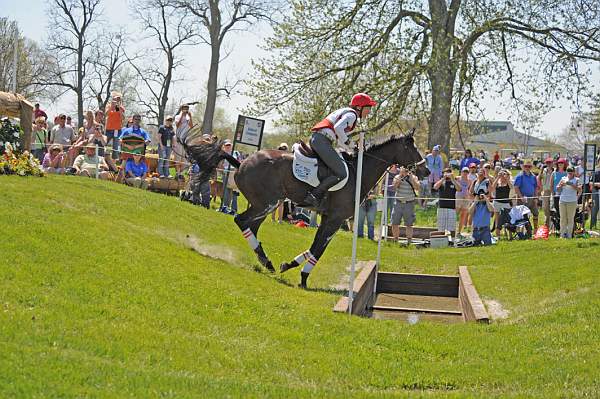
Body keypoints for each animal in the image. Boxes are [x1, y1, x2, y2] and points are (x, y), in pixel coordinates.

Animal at [185, 133, 428, 290]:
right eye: (411, 148)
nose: (425, 170)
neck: (358, 173)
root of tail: (241, 162)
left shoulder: (329, 219)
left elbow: (315, 248)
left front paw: (290, 266)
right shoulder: (335, 219)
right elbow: (317, 250)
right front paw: (301, 276)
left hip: (268, 204)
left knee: (250, 226)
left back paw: (266, 261)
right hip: (266, 203)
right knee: (241, 220)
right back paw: (267, 261)